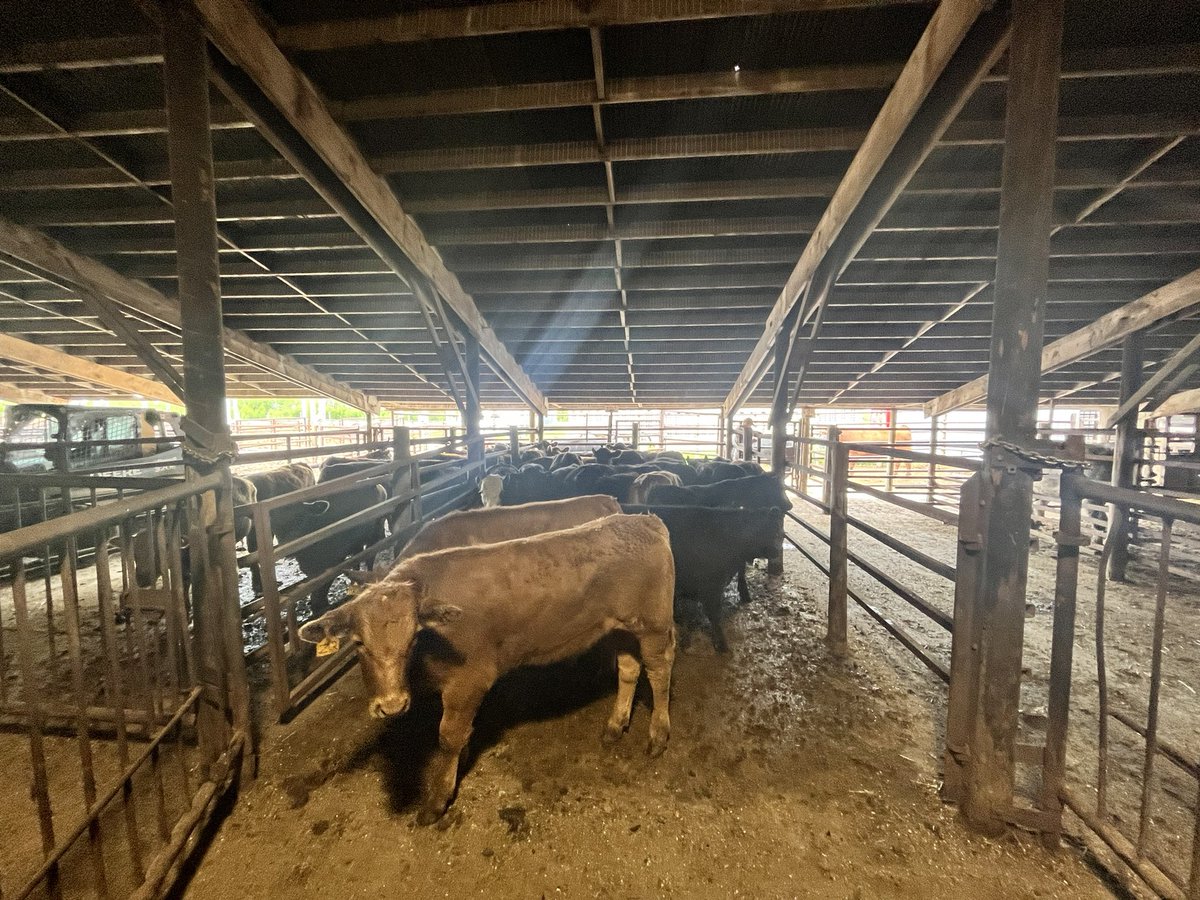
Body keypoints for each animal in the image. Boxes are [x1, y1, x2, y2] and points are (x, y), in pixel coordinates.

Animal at [299, 514, 676, 824]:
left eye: (413, 636)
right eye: (359, 643)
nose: (392, 705)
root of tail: (644, 520)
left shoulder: (470, 679)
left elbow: (448, 737)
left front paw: (438, 799)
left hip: (653, 625)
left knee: (659, 671)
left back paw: (658, 735)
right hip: (621, 628)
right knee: (629, 668)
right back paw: (615, 724)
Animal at [627, 505, 784, 652]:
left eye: (779, 532)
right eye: (770, 531)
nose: (777, 550)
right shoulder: (710, 587)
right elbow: (714, 614)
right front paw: (722, 645)